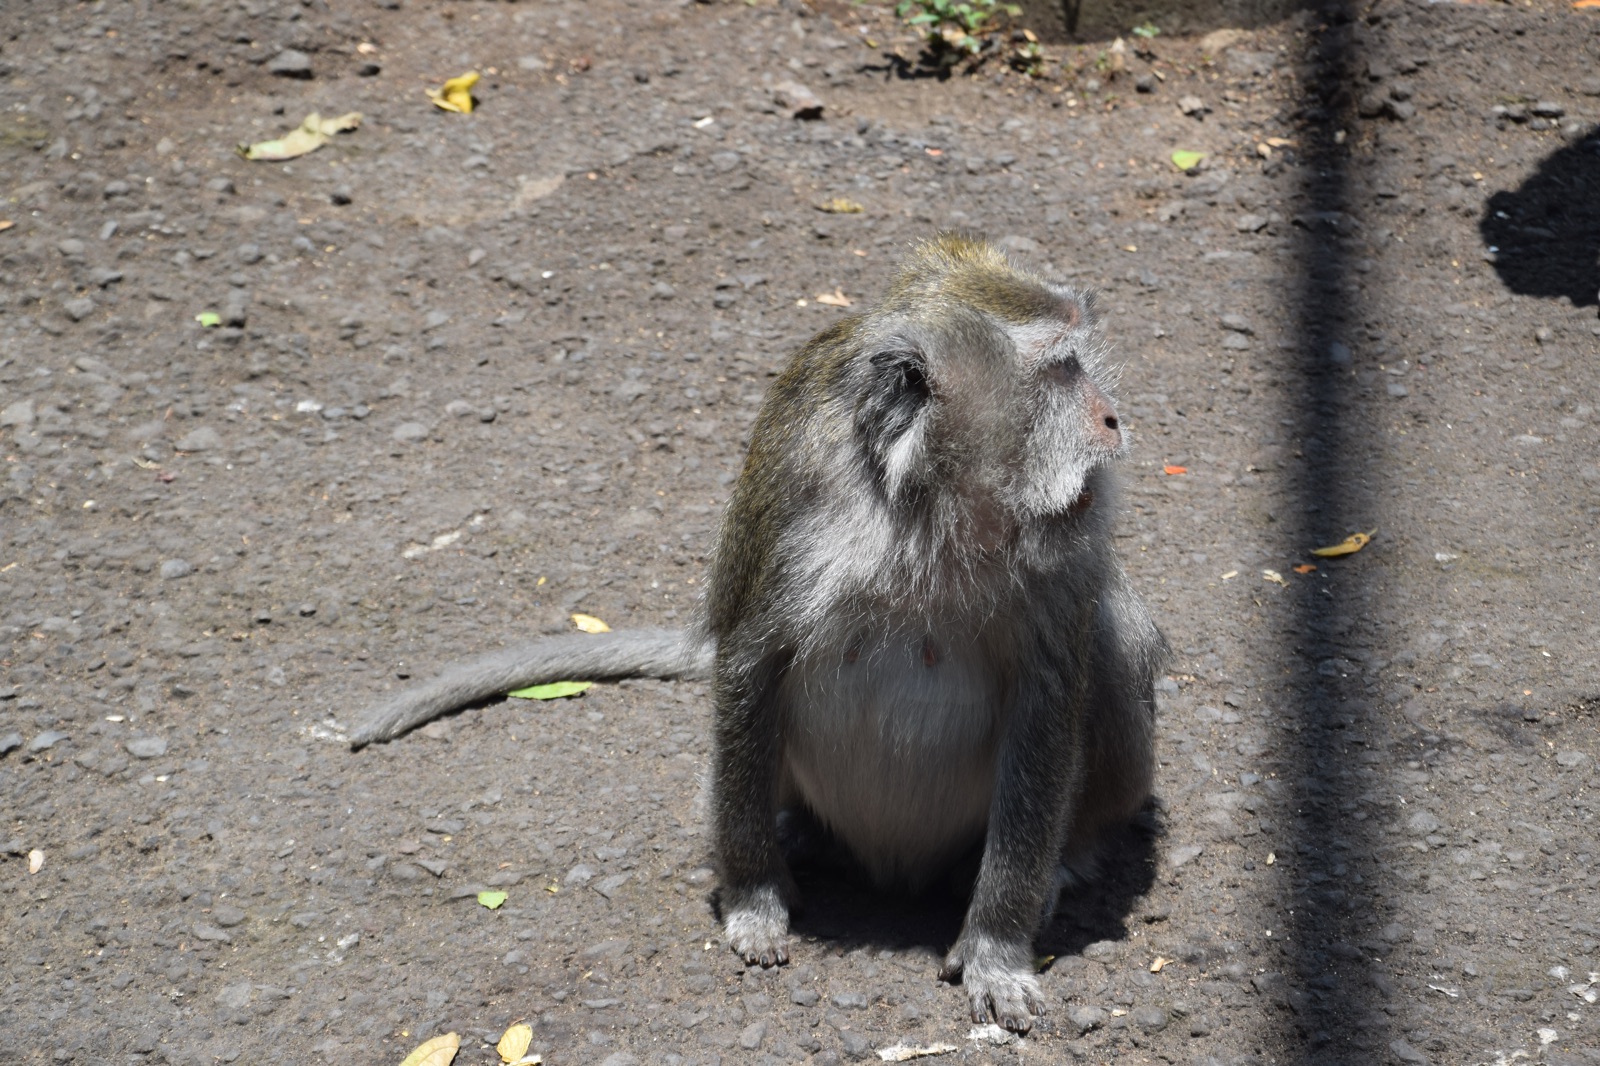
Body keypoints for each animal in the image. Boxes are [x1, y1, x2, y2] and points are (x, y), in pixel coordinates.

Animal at [348, 233, 1166, 1033]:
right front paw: (752, 897)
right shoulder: (787, 499)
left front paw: (996, 949)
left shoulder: (1063, 560)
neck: (928, 501)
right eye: (1059, 369)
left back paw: (1065, 861)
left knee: (1118, 642)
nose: (1112, 418)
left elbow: (1046, 703)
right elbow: (749, 661)